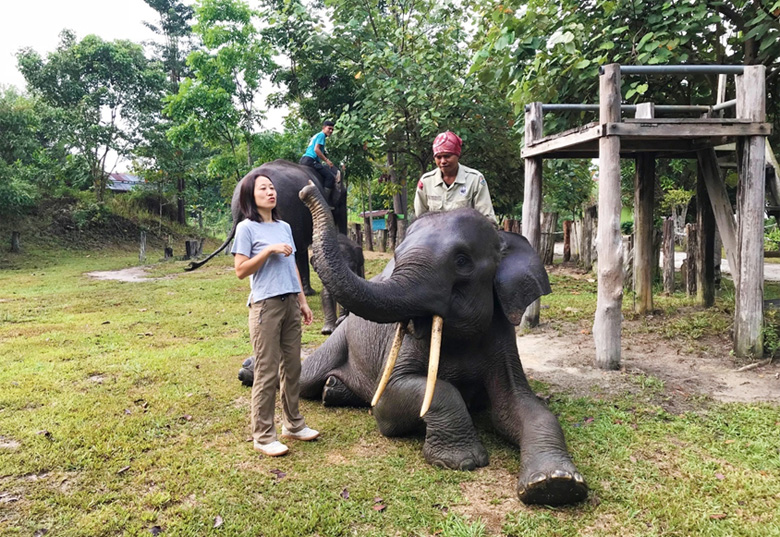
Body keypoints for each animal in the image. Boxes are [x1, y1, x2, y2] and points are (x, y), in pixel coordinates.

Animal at [298, 183, 584, 502]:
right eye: (396, 256)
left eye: (462, 261)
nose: (306, 190)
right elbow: (391, 400)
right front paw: (462, 461)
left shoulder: (501, 338)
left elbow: (520, 405)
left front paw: (554, 484)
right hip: (340, 338)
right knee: (304, 378)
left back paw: (332, 391)